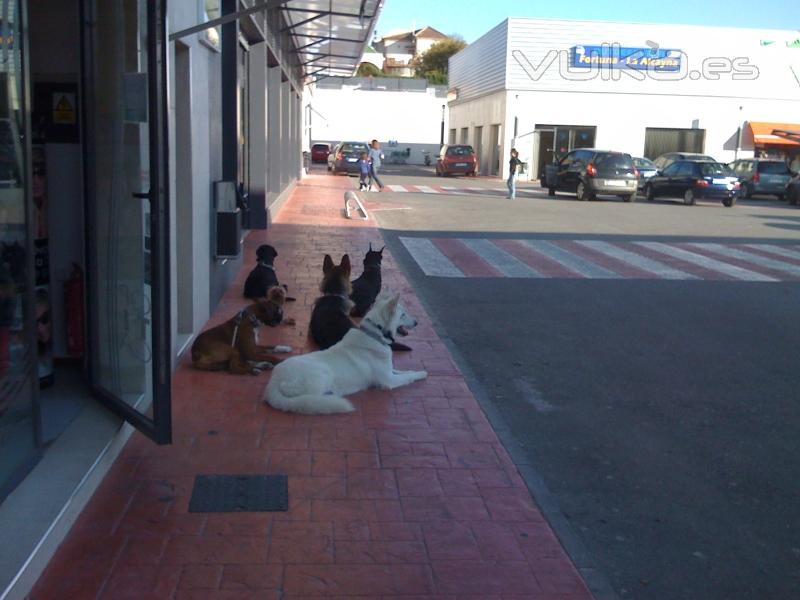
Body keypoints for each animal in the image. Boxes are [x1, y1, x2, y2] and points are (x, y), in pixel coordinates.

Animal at [262, 294, 428, 414]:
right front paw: (422, 374)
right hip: (322, 373)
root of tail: (272, 384)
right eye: (403, 315)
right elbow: (409, 377)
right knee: (304, 395)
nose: (417, 322)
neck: (374, 335)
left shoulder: (390, 371)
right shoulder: (389, 380)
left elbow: (403, 371)